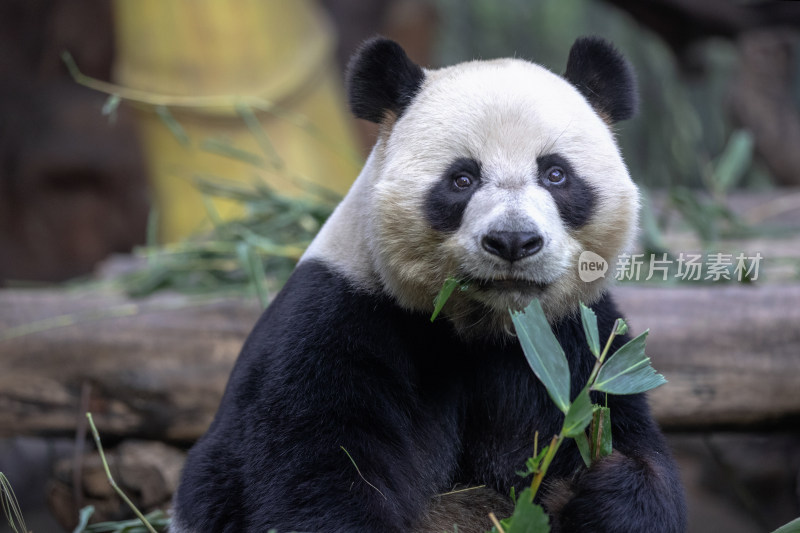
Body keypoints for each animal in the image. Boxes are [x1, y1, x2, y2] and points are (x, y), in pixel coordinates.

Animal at [175, 35, 688, 528]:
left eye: (556, 173)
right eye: (462, 179)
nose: (513, 240)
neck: (487, 327)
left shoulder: (578, 342)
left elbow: (627, 448)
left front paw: (605, 488)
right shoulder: (337, 324)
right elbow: (317, 476)